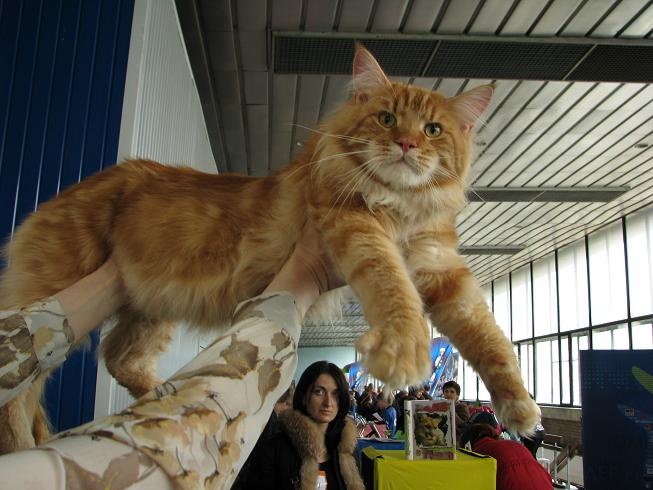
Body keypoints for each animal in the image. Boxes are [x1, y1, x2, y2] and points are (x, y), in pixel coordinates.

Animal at [0, 44, 540, 453]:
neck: (400, 206)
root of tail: (67, 190)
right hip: (61, 285)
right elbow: (392, 287)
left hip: (147, 307)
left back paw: (161, 401)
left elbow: (488, 338)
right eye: (386, 119)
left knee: (116, 356)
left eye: (432, 130)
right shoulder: (353, 224)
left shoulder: (440, 267)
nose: (406, 145)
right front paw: (402, 350)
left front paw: (519, 406)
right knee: (22, 393)